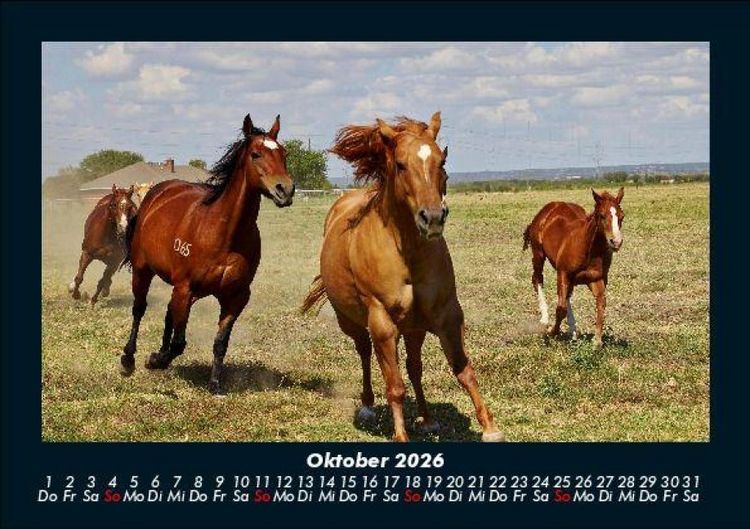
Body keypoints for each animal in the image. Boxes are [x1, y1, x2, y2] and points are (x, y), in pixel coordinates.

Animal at [119, 114, 295, 394]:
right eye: (256, 154)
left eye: (284, 153)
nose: (285, 190)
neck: (224, 235)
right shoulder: (185, 287)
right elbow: (179, 342)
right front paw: (155, 360)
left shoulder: (235, 297)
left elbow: (220, 342)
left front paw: (214, 384)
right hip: (143, 270)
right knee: (139, 308)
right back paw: (129, 359)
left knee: (169, 313)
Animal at [302, 113, 503, 442]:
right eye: (400, 164)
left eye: (442, 161)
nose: (432, 218)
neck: (406, 253)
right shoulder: (383, 323)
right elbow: (394, 386)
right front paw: (400, 435)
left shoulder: (447, 315)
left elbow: (463, 369)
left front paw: (490, 427)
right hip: (354, 322)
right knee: (365, 353)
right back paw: (368, 407)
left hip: (414, 327)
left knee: (414, 366)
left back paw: (427, 418)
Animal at [522, 188, 625, 348]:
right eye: (601, 215)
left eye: (622, 216)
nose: (616, 242)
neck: (588, 248)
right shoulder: (563, 273)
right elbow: (560, 309)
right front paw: (552, 332)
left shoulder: (596, 279)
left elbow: (601, 304)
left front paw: (597, 341)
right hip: (538, 254)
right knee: (537, 279)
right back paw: (545, 319)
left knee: (566, 296)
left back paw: (573, 330)